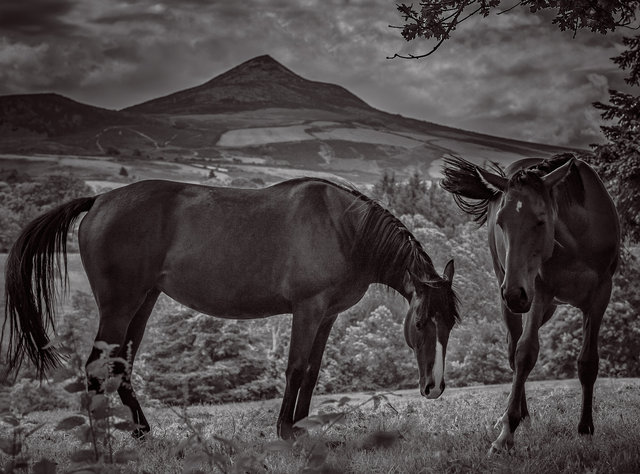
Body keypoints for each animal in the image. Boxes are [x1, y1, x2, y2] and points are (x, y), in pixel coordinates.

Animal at [2, 179, 458, 440]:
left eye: (451, 323)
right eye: (420, 322)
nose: (434, 388)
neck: (344, 228)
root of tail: (98, 201)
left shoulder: (327, 316)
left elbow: (312, 373)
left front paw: (305, 428)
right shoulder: (308, 310)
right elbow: (295, 369)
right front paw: (285, 431)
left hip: (143, 302)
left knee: (121, 366)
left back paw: (142, 433)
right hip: (119, 305)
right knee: (98, 368)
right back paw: (104, 444)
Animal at [442, 156, 616, 452]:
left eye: (540, 220)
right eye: (501, 222)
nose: (513, 293)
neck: (578, 239)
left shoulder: (600, 295)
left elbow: (588, 362)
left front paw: (585, 429)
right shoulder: (538, 292)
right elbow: (525, 353)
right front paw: (505, 435)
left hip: (543, 304)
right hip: (519, 298)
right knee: (514, 348)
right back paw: (517, 416)